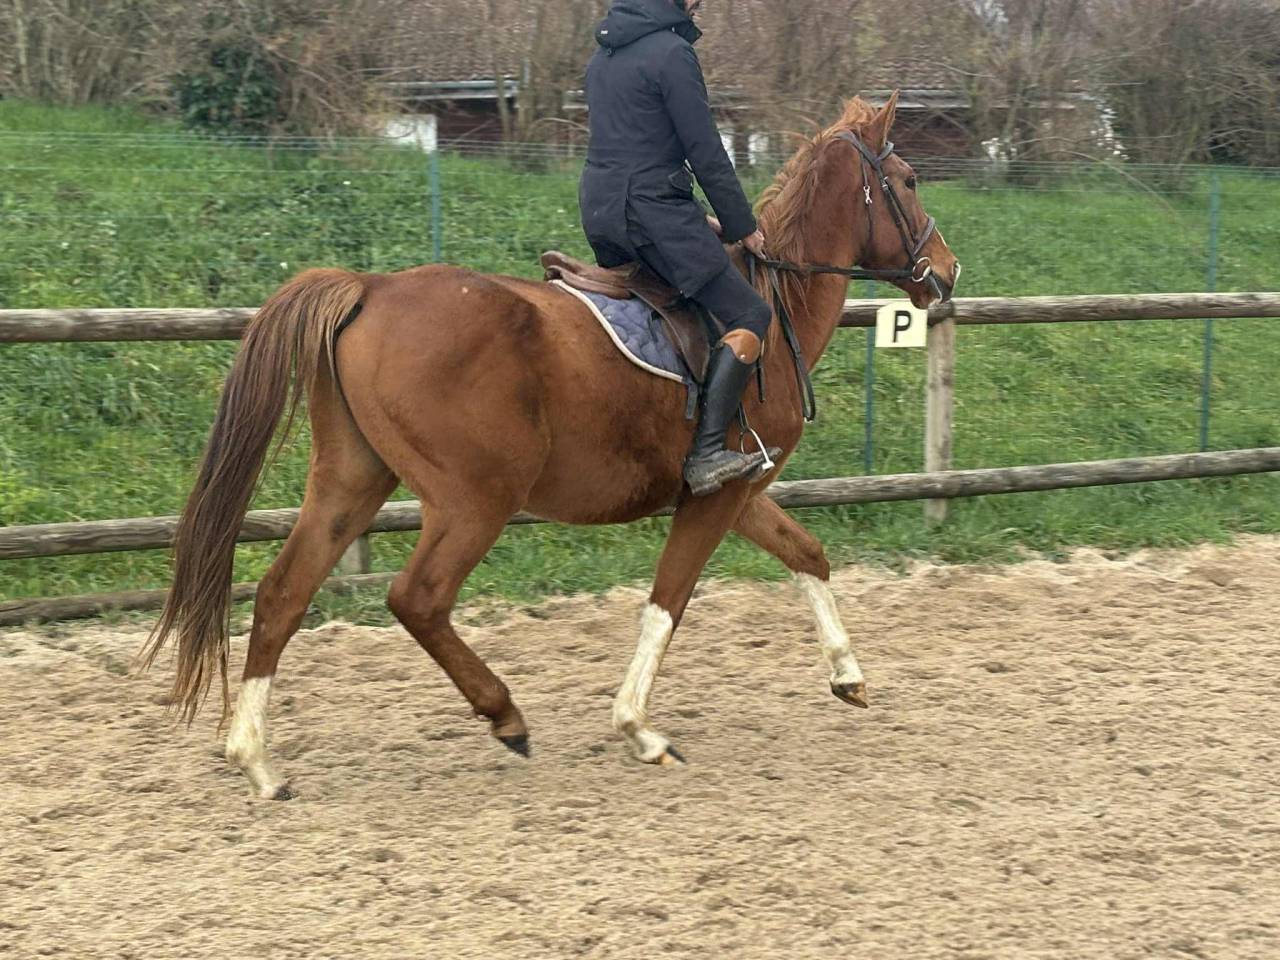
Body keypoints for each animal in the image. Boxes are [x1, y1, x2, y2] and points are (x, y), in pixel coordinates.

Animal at [143, 92, 961, 799]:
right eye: (908, 180)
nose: (947, 274)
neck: (772, 302)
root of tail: (370, 287)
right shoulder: (717, 493)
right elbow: (668, 600)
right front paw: (640, 730)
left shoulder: (740, 490)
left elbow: (806, 552)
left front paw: (847, 674)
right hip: (474, 501)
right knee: (418, 598)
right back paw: (503, 714)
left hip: (352, 483)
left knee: (284, 593)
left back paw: (256, 760)